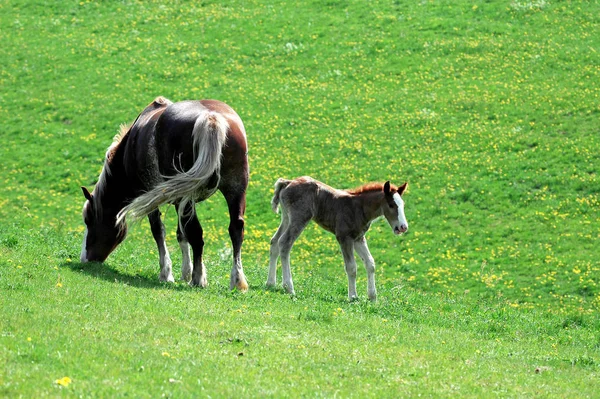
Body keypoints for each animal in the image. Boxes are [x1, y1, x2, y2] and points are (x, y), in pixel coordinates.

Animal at [80, 96, 248, 290]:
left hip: (187, 196)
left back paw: (198, 278)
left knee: (196, 233)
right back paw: (237, 280)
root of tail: (210, 117)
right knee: (235, 228)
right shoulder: (177, 200)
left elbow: (159, 231)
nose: (85, 259)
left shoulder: (151, 197)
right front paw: (185, 271)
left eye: (89, 220)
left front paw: (167, 273)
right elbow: (181, 234)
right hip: (235, 188)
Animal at [268, 177, 408, 302]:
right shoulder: (344, 237)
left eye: (403, 205)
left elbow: (370, 263)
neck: (359, 207)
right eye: (391, 205)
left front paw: (372, 297)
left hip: (287, 217)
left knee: (274, 241)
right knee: (284, 243)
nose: (403, 227)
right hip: (299, 218)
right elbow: (351, 267)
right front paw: (353, 297)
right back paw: (289, 288)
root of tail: (287, 182)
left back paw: (270, 283)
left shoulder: (358, 238)